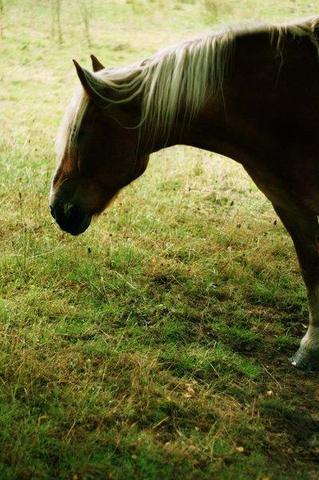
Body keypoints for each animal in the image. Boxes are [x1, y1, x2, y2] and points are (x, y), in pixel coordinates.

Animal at [50, 16, 319, 372]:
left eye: (79, 133)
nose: (56, 207)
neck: (285, 99)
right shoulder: (290, 204)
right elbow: (311, 269)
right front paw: (312, 348)